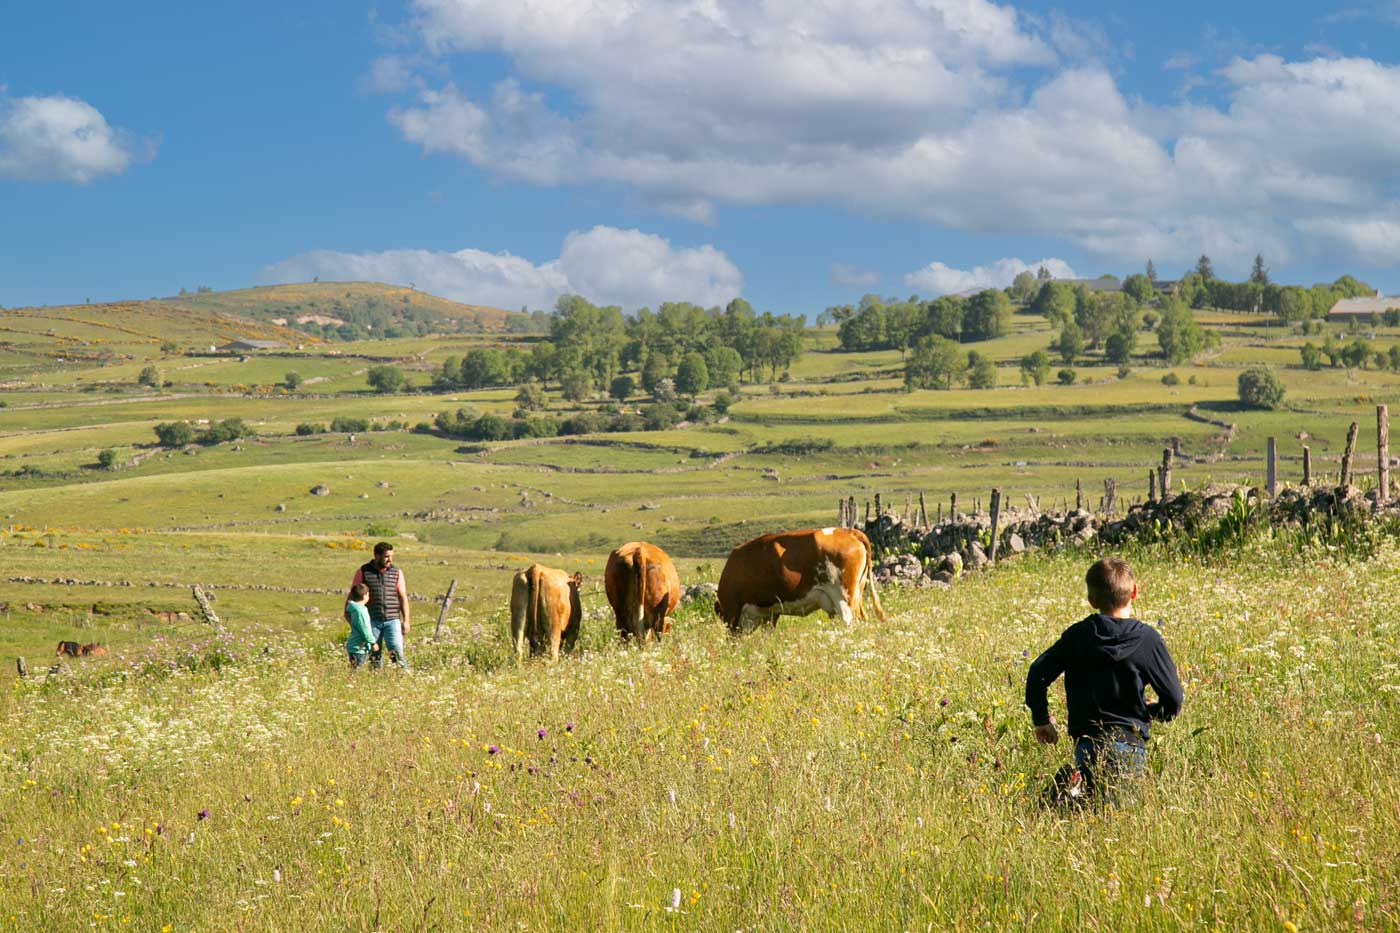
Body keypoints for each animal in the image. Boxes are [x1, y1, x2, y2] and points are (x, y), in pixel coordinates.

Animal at [716, 523, 879, 633]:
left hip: (843, 598)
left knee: (848, 622)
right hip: (857, 592)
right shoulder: (770, 613)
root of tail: (849, 531)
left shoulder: (734, 610)